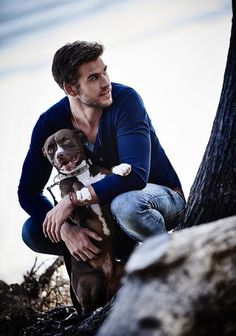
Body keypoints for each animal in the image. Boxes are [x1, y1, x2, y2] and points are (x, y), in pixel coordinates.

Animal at [42, 129, 131, 316]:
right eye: (50, 149)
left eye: (66, 140)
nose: (59, 155)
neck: (80, 173)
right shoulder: (75, 215)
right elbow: (75, 186)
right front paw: (82, 192)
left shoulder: (108, 183)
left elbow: (111, 170)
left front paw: (122, 167)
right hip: (91, 280)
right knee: (88, 307)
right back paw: (95, 310)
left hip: (125, 266)